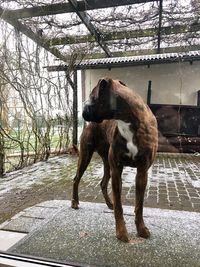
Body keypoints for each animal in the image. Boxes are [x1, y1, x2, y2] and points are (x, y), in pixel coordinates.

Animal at [71, 77, 158, 243]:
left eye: (92, 97)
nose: (83, 111)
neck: (128, 120)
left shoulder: (142, 172)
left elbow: (139, 205)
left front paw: (141, 229)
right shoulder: (117, 170)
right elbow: (119, 206)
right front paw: (121, 232)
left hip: (107, 164)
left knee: (103, 182)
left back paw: (109, 203)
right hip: (86, 156)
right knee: (76, 179)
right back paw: (74, 202)